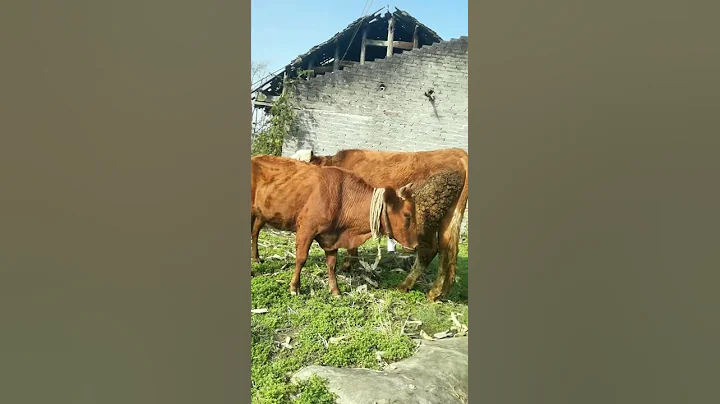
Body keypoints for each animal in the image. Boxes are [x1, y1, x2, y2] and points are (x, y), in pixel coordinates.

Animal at [251, 155, 420, 296]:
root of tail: (255, 157)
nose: (416, 245)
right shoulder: (306, 228)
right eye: (407, 215)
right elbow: (301, 258)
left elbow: (331, 264)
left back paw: (256, 258)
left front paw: (335, 290)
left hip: (263, 213)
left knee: (255, 231)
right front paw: (294, 287)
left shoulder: (332, 237)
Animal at [305, 148, 469, 302]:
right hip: (449, 219)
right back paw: (438, 292)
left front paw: (346, 265)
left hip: (424, 216)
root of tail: (457, 153)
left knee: (429, 251)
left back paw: (406, 286)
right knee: (448, 251)